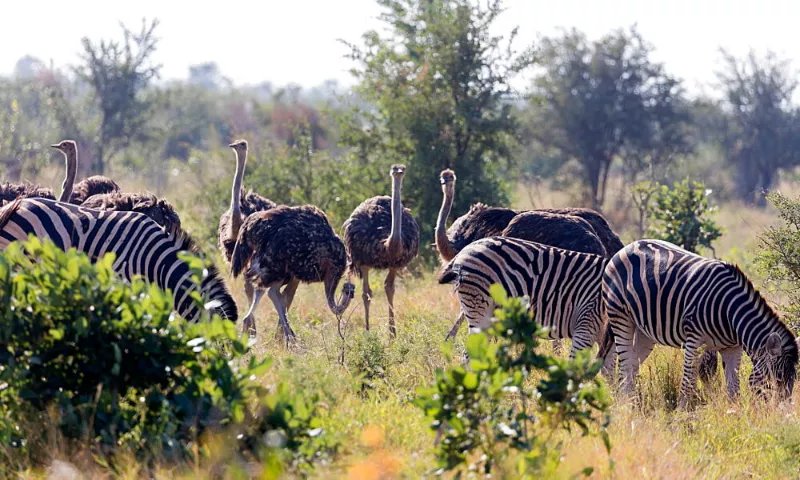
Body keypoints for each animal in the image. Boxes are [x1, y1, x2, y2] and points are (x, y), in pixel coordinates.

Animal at [604, 239, 798, 406]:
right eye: (777, 380)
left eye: (793, 381)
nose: (780, 415)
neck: (730, 315)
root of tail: (627, 246)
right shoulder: (693, 341)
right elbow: (688, 383)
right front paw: (682, 416)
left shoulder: (732, 348)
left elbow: (733, 387)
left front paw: (734, 415)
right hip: (620, 317)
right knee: (624, 366)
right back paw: (626, 406)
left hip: (645, 332)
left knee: (632, 365)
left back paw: (633, 405)